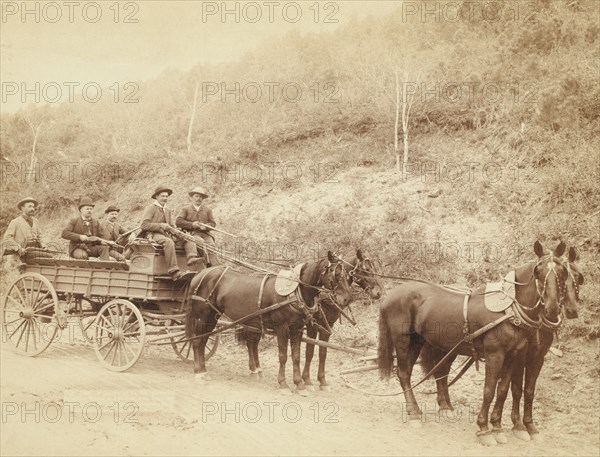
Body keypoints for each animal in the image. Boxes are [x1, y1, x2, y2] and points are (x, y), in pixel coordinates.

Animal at [185, 249, 354, 392]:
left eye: (347, 275)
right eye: (336, 273)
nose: (347, 299)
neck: (294, 293)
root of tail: (199, 275)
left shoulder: (297, 328)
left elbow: (297, 356)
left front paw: (299, 383)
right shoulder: (282, 328)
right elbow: (283, 355)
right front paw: (284, 383)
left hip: (212, 317)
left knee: (205, 340)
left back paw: (204, 369)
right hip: (202, 316)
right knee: (197, 341)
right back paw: (199, 372)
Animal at [302, 248, 382, 390]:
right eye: (366, 269)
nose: (378, 293)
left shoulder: (327, 327)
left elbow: (323, 352)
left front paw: (322, 380)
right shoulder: (313, 326)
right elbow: (310, 351)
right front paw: (306, 379)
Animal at [378, 240, 568, 444]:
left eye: (563, 271)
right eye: (538, 271)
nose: (552, 308)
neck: (509, 311)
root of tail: (388, 296)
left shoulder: (513, 356)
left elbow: (503, 390)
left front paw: (498, 427)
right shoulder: (495, 355)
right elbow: (489, 390)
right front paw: (484, 429)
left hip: (434, 344)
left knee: (440, 373)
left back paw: (445, 408)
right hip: (406, 341)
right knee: (404, 373)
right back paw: (414, 413)